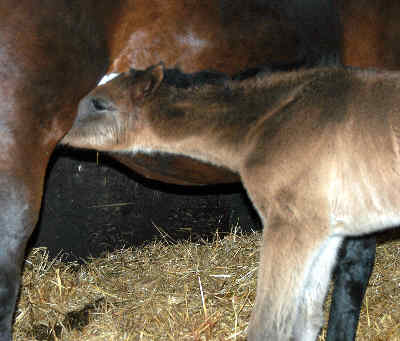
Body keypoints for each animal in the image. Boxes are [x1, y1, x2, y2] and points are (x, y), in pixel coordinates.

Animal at [62, 64, 400, 340]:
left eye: (100, 103)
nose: (59, 134)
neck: (268, 123)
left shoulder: (291, 226)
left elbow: (268, 327)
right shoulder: (327, 233)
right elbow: (307, 319)